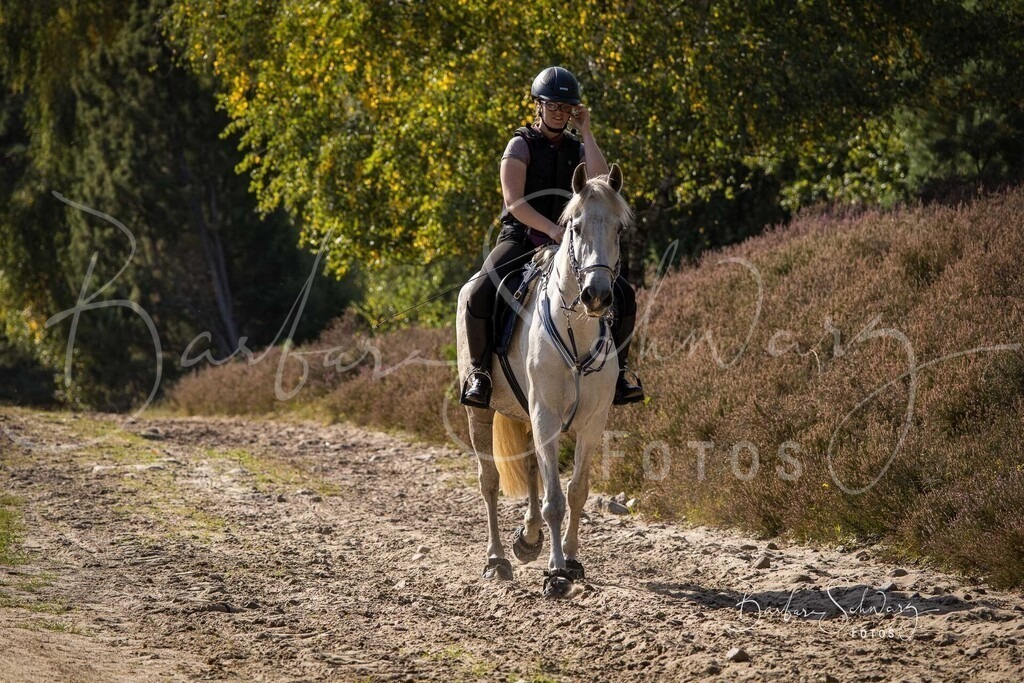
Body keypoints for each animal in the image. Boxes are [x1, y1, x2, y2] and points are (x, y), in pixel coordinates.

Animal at [456, 162, 633, 597]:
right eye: (575, 227)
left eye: (619, 230)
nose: (597, 296)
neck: (577, 331)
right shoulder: (547, 416)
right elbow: (554, 498)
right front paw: (555, 573)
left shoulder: (591, 422)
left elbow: (577, 491)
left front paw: (571, 560)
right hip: (482, 412)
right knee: (489, 481)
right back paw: (497, 560)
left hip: (524, 414)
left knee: (532, 468)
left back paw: (528, 538)